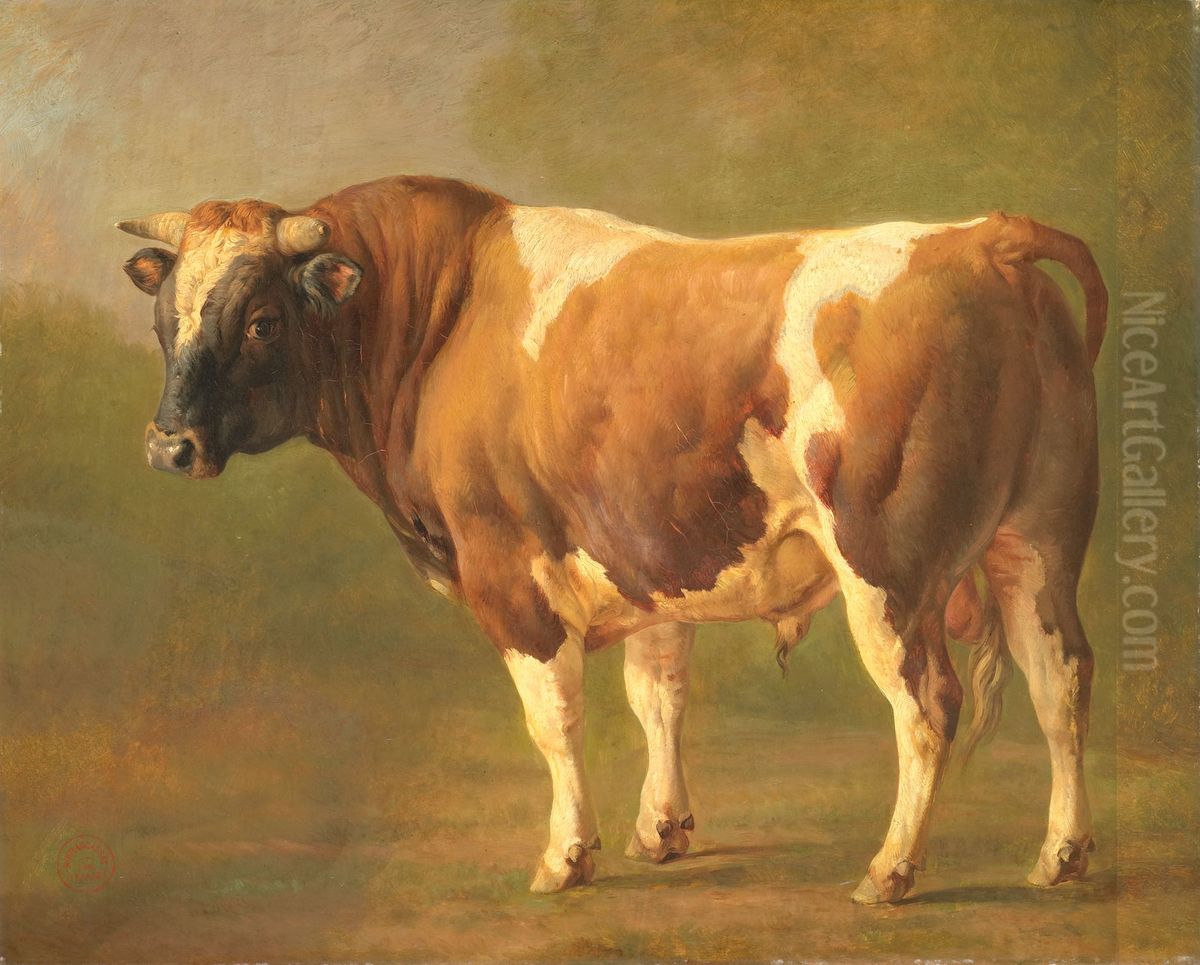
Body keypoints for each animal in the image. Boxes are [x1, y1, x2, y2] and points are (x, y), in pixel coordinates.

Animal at [117, 175, 1107, 902]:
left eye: (260, 320)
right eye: (166, 321)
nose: (169, 445)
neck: (442, 315)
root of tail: (978, 237)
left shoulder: (509, 570)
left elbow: (554, 719)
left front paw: (568, 854)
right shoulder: (648, 554)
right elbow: (657, 695)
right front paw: (661, 829)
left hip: (888, 568)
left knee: (927, 703)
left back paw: (890, 869)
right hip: (1040, 544)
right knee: (1061, 679)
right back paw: (1062, 854)